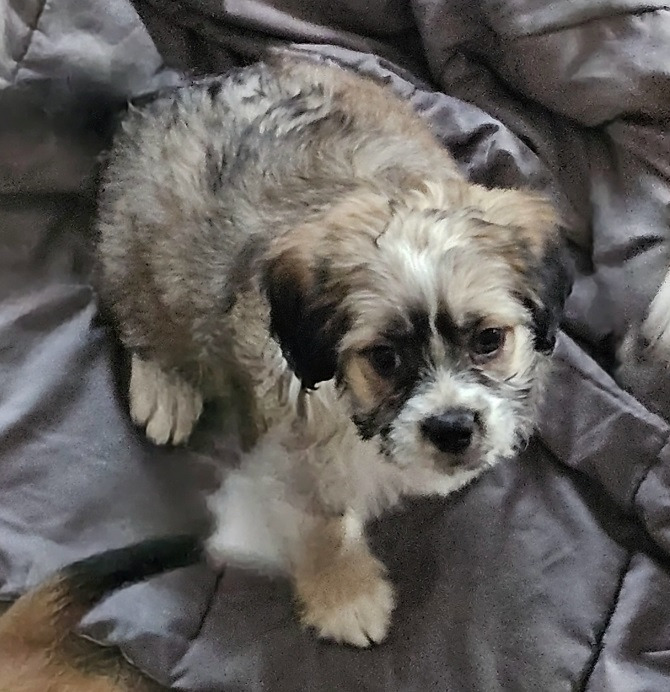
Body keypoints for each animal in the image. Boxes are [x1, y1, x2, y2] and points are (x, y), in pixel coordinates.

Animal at [98, 55, 572, 648]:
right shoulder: (289, 443)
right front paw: (345, 594)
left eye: (489, 340)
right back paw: (166, 386)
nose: (453, 428)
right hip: (145, 240)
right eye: (384, 358)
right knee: (135, 302)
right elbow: (319, 521)